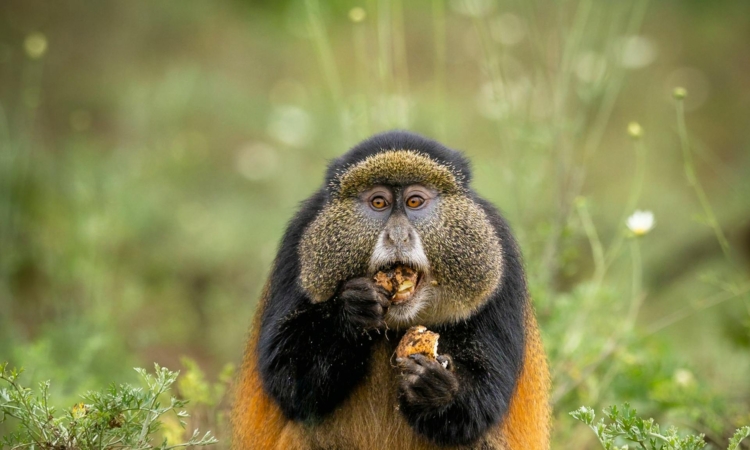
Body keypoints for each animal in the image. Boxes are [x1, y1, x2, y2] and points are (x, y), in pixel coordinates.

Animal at [232, 130, 550, 449]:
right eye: (379, 203)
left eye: (414, 201)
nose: (398, 235)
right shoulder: (298, 237)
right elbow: (287, 378)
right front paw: (351, 313)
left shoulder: (500, 250)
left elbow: (486, 400)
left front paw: (435, 388)